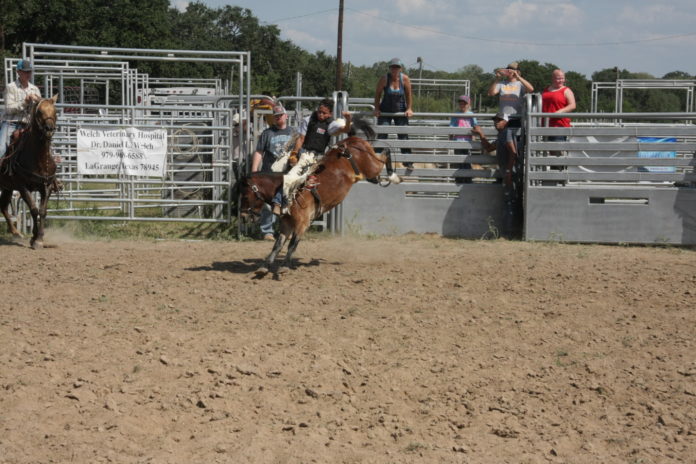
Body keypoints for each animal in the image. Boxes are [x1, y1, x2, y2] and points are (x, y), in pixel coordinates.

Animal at [0, 95, 59, 250]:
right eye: (39, 112)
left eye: (55, 111)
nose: (49, 129)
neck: (38, 158)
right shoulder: (22, 186)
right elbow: (33, 209)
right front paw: (35, 238)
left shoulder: (46, 186)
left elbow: (42, 211)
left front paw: (39, 238)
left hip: (7, 187)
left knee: (3, 207)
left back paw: (16, 233)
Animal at [239, 122, 402, 276]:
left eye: (245, 195)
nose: (243, 216)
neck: (287, 189)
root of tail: (352, 140)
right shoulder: (286, 224)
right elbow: (277, 246)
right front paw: (264, 267)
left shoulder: (302, 223)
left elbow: (292, 244)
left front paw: (284, 266)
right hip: (369, 173)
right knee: (378, 169)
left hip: (371, 166)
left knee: (385, 154)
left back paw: (394, 176)